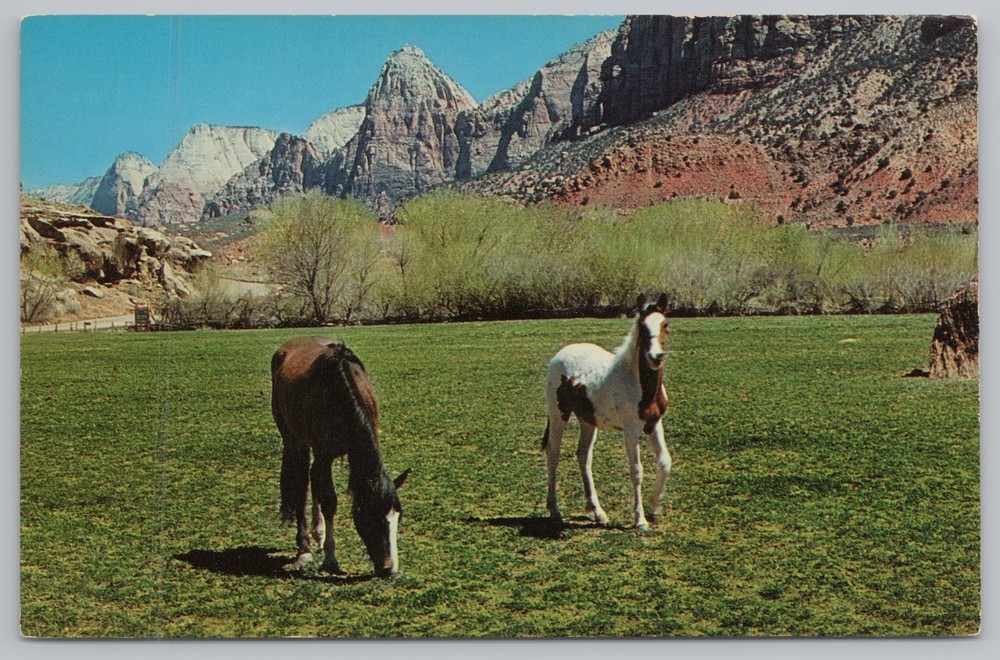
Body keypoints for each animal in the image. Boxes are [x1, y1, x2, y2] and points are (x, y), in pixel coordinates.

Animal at [271, 336, 409, 578]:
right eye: (370, 517)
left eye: (397, 517)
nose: (389, 569)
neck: (339, 390)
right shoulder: (323, 455)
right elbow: (329, 502)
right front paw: (330, 560)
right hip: (294, 440)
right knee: (302, 484)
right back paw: (304, 549)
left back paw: (318, 536)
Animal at [542, 293, 672, 531]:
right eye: (642, 327)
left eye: (665, 324)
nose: (656, 356)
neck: (637, 384)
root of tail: (560, 355)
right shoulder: (631, 430)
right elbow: (636, 471)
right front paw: (640, 520)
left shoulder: (655, 424)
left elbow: (665, 461)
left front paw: (654, 508)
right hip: (558, 414)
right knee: (553, 452)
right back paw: (555, 511)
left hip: (588, 420)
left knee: (583, 455)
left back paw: (598, 512)